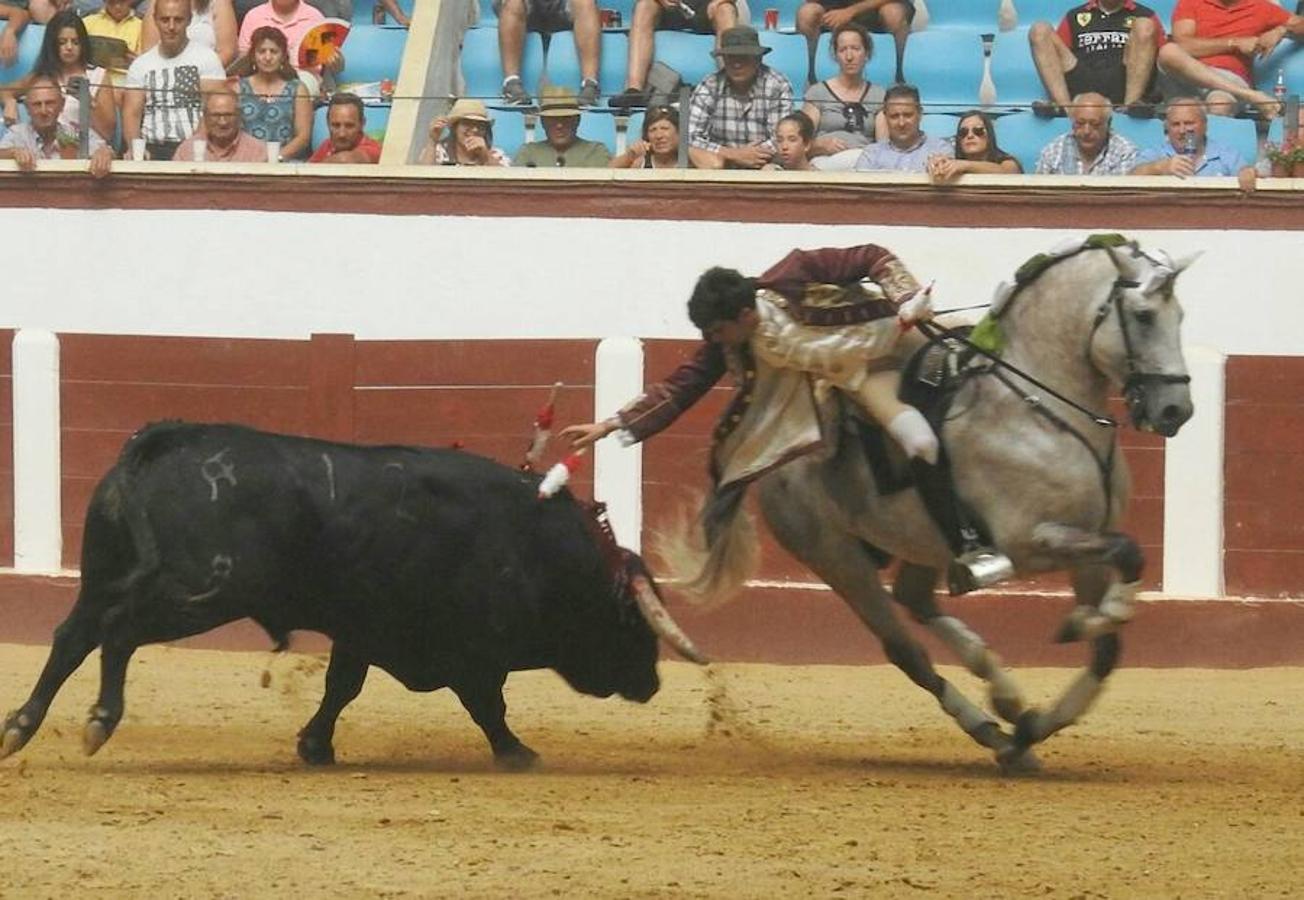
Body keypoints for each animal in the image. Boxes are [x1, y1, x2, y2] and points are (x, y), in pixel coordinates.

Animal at [0, 420, 709, 761]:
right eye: (633, 623)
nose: (653, 682)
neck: (533, 548)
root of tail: (165, 439)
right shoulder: (469, 653)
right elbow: (488, 706)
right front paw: (518, 753)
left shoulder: (363, 629)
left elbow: (341, 687)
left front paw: (314, 746)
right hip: (196, 594)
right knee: (116, 633)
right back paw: (98, 721)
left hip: (104, 575)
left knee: (72, 636)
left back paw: (20, 726)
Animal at [678, 234, 1194, 766]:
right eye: (1143, 316)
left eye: (1179, 314)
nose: (1175, 410)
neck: (1040, 406)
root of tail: (773, 464)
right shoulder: (1031, 541)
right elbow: (1128, 555)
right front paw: (1083, 627)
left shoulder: (1087, 544)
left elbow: (1110, 642)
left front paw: (1069, 659)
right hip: (837, 559)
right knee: (906, 650)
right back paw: (991, 728)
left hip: (922, 541)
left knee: (916, 598)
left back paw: (1002, 691)